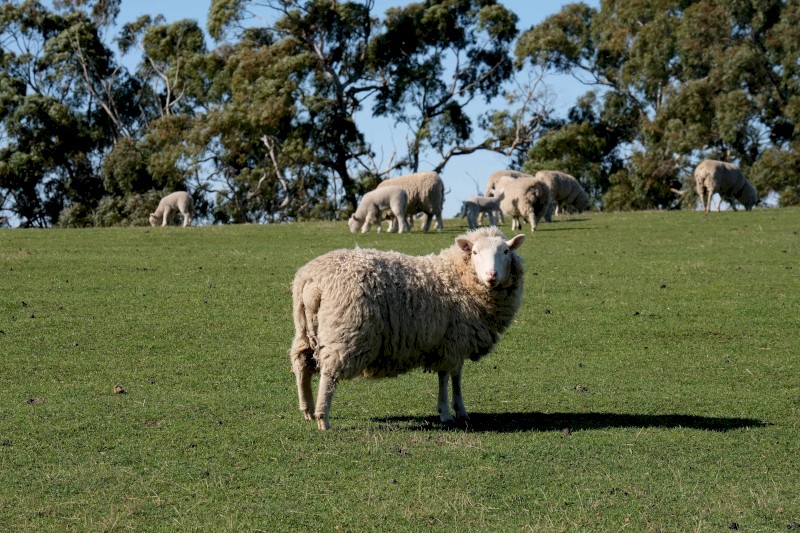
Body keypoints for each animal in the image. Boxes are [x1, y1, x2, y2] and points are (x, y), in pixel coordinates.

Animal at [289, 226, 526, 430]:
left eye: (506, 251)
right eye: (475, 252)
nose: (491, 276)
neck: (457, 277)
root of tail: (312, 280)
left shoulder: (456, 341)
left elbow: (456, 377)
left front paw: (460, 410)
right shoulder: (451, 341)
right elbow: (445, 377)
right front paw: (446, 412)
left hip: (306, 328)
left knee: (302, 363)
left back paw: (307, 409)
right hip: (344, 330)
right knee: (328, 374)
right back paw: (323, 418)